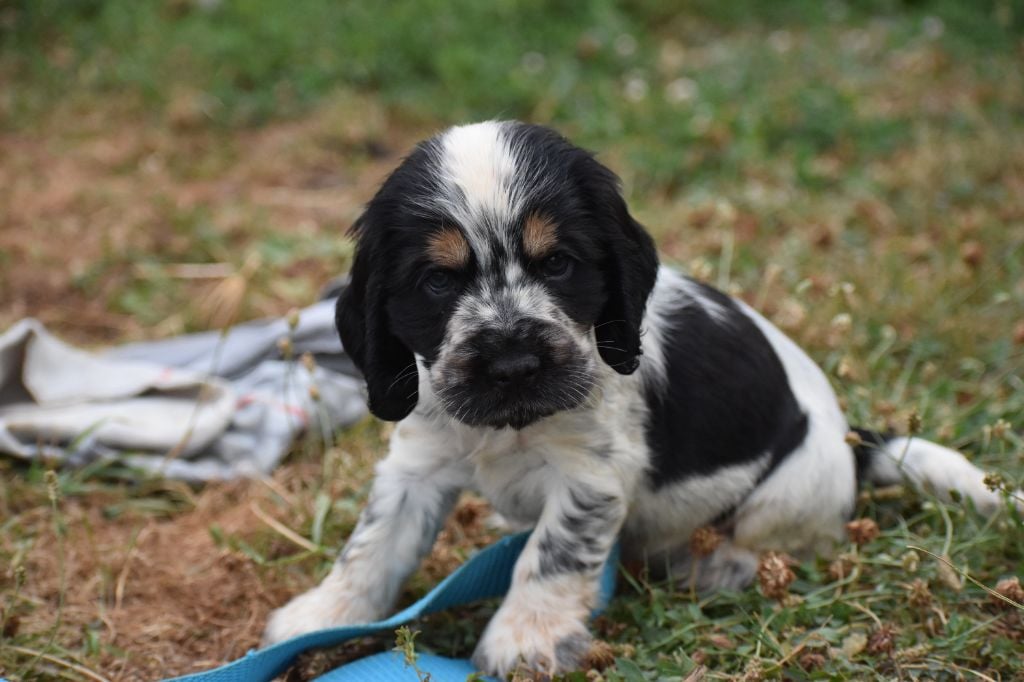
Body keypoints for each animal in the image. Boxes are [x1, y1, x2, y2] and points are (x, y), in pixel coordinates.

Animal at [262, 120, 1007, 675]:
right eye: (438, 282)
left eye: (559, 264)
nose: (512, 363)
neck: (511, 428)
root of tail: (856, 446)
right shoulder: (417, 463)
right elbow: (372, 546)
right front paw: (320, 616)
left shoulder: (589, 478)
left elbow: (551, 557)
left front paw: (525, 639)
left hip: (786, 492)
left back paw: (717, 564)